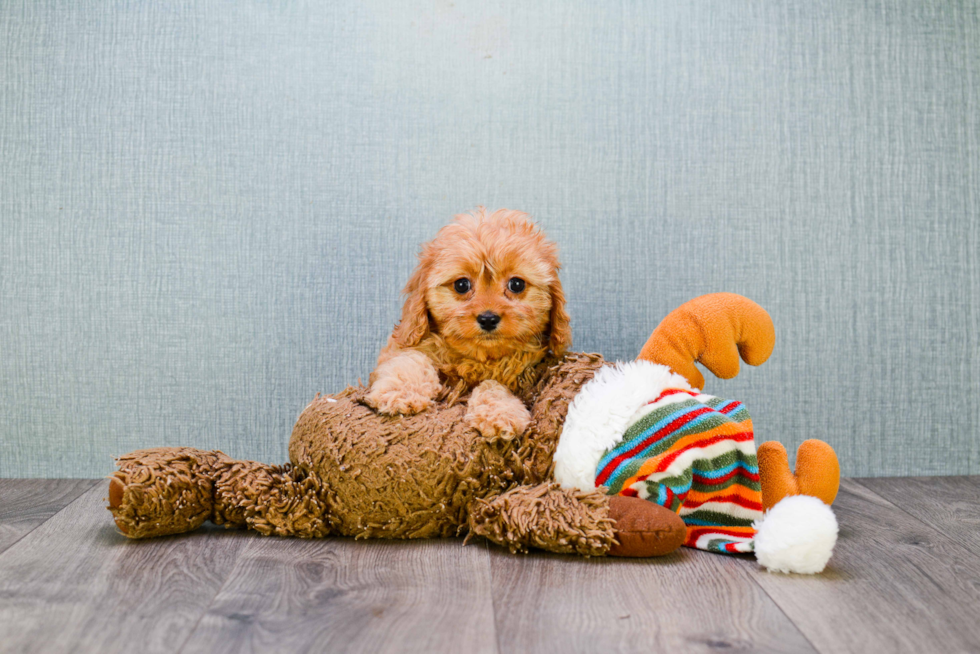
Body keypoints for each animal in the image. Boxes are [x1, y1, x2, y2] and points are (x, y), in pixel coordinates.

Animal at [364, 209, 572, 440]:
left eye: (516, 284)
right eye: (461, 285)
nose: (488, 318)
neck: (477, 357)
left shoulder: (526, 377)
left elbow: (493, 385)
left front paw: (500, 413)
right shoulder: (405, 341)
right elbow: (411, 358)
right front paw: (401, 392)